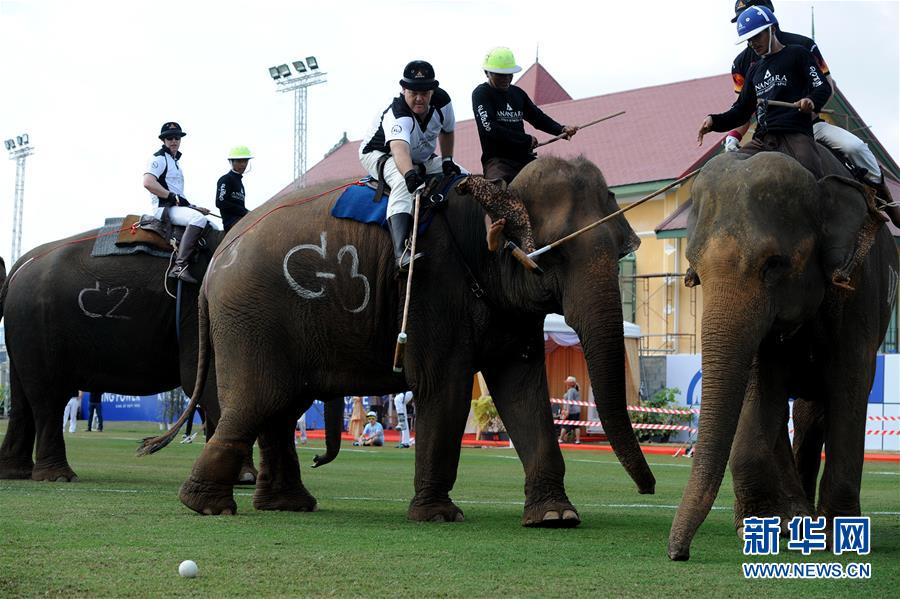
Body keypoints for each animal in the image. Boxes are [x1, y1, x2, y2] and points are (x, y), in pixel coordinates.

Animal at [144, 156, 656, 524]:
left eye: (623, 249)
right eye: (553, 255)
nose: (648, 489)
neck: (491, 194)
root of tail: (215, 259)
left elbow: (523, 389)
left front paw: (556, 517)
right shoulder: (432, 284)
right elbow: (445, 387)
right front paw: (439, 516)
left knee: (279, 407)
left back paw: (286, 504)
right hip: (252, 319)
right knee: (258, 400)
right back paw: (207, 506)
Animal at [664, 150, 896, 564]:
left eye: (773, 264)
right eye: (696, 271)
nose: (679, 554)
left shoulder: (860, 290)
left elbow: (850, 384)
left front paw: (839, 534)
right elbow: (761, 390)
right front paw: (774, 522)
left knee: (813, 413)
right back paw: (787, 519)